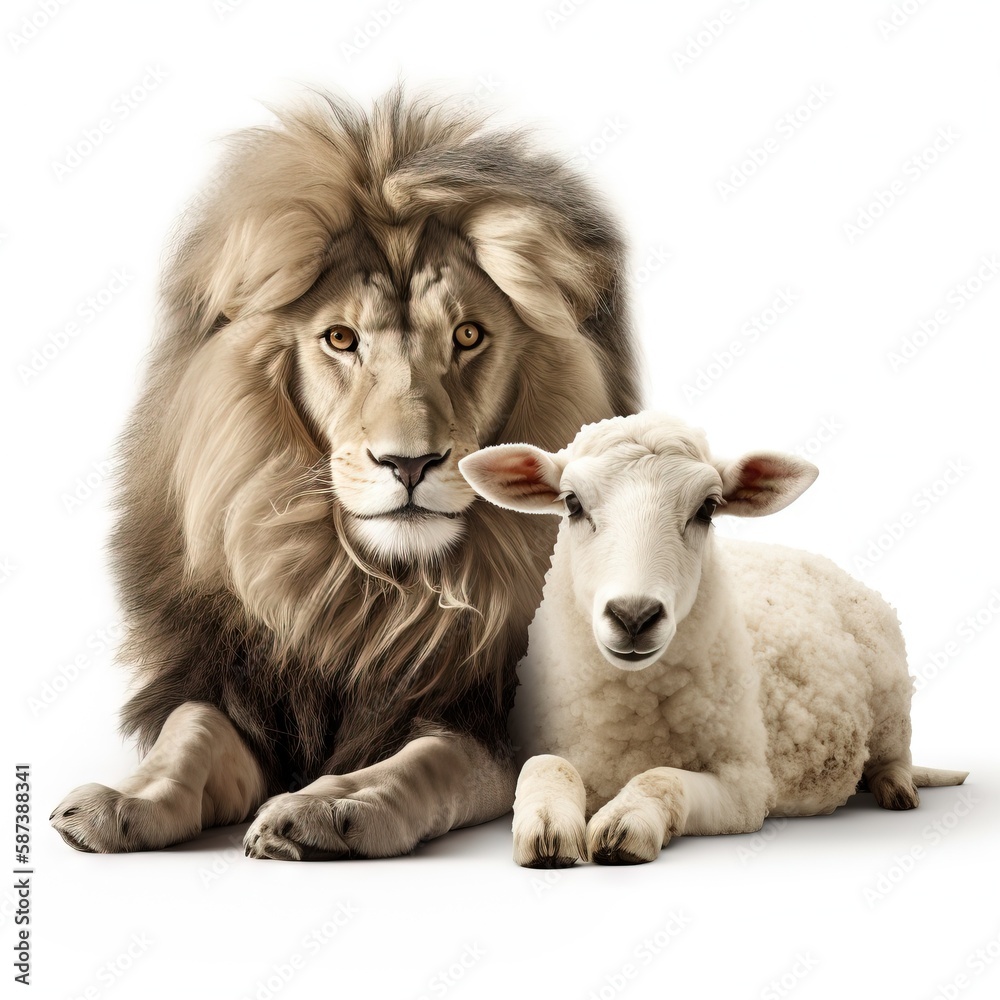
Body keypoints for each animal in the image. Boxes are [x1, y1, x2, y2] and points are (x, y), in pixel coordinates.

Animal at [50, 88, 642, 859]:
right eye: (340, 339)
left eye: (468, 335)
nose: (408, 462)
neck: (368, 594)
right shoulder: (235, 682)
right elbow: (191, 732)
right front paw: (122, 801)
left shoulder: (486, 720)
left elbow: (425, 762)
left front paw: (330, 807)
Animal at [458, 412, 968, 867]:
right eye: (572, 503)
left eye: (706, 508)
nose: (634, 616)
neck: (630, 720)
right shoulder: (547, 747)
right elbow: (546, 766)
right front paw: (546, 828)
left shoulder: (747, 785)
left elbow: (662, 778)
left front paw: (626, 822)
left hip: (892, 703)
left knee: (894, 755)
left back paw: (896, 788)